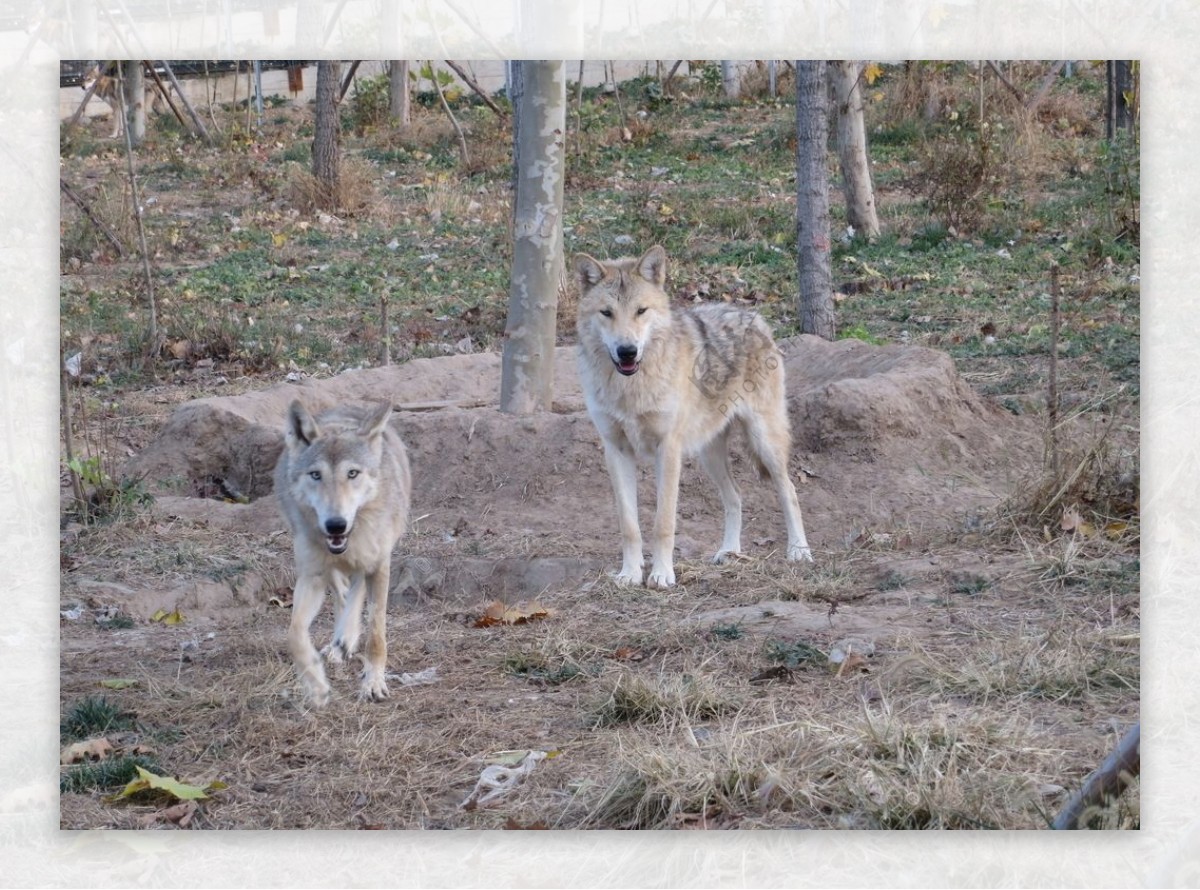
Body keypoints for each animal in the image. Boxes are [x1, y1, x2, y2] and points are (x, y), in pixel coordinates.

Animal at [274, 400, 415, 705]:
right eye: (316, 475)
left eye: (352, 473)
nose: (335, 524)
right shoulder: (312, 574)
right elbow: (294, 634)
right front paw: (315, 685)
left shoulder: (379, 564)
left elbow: (376, 634)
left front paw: (373, 683)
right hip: (326, 568)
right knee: (342, 592)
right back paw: (341, 642)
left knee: (356, 591)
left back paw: (346, 639)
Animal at [573, 247, 816, 590]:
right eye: (606, 313)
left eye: (641, 311)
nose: (627, 351)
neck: (632, 386)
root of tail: (753, 316)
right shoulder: (615, 450)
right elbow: (629, 526)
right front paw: (630, 574)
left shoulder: (668, 449)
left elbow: (663, 523)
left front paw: (662, 574)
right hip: (709, 455)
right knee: (736, 497)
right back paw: (729, 552)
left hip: (764, 441)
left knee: (790, 490)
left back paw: (798, 551)